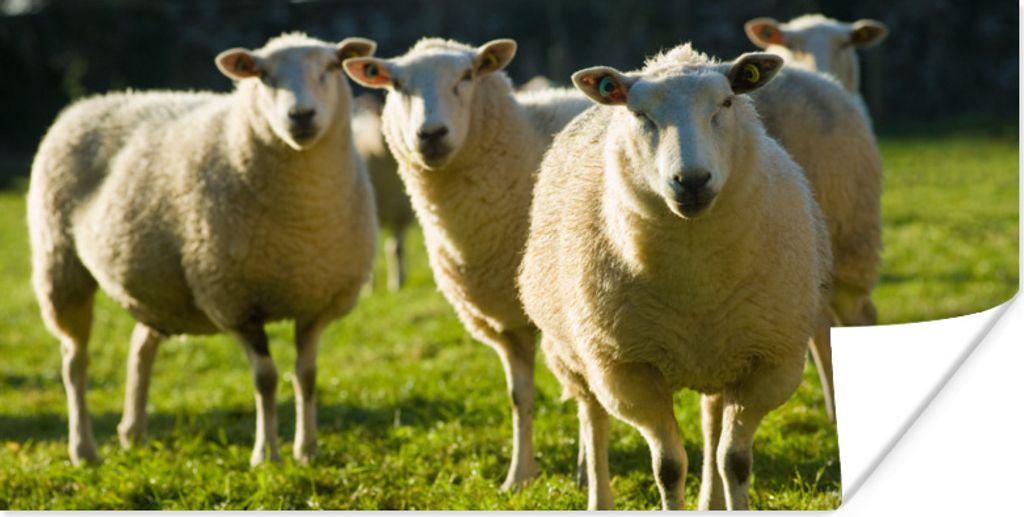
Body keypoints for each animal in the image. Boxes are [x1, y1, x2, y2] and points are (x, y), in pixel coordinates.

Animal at [27, 33, 378, 467]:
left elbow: (306, 376)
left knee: (140, 347)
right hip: (60, 264)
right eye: (263, 75)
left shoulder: (316, 302)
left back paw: (133, 433)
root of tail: (85, 104)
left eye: (331, 67)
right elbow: (266, 379)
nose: (301, 116)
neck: (302, 221)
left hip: (160, 289)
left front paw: (306, 450)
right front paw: (266, 455)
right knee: (74, 361)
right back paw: (84, 450)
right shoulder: (235, 302)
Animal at [517, 46, 833, 510]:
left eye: (726, 103)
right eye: (640, 114)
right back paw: (600, 499)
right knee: (593, 422)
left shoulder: (768, 363)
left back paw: (710, 500)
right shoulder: (628, 372)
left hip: (720, 354)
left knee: (711, 422)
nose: (693, 180)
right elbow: (668, 467)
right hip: (577, 355)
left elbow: (734, 460)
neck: (695, 278)